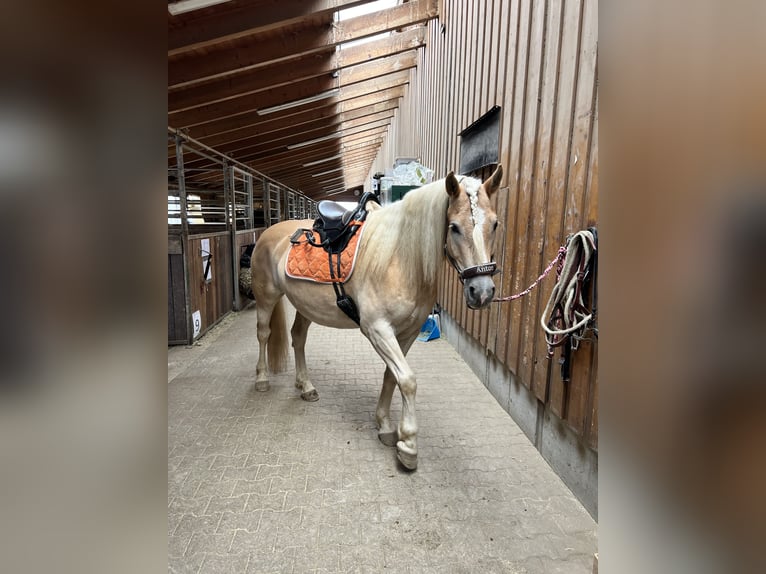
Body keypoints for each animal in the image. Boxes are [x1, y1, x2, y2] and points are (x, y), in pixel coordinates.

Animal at [250, 165, 504, 469]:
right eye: (453, 226)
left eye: (495, 224)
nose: (482, 291)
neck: (401, 259)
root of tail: (270, 232)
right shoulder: (377, 330)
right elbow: (407, 380)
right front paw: (408, 445)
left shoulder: (407, 332)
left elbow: (391, 377)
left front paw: (384, 425)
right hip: (266, 297)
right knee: (263, 334)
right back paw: (262, 380)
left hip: (306, 306)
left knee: (298, 338)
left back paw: (306, 386)